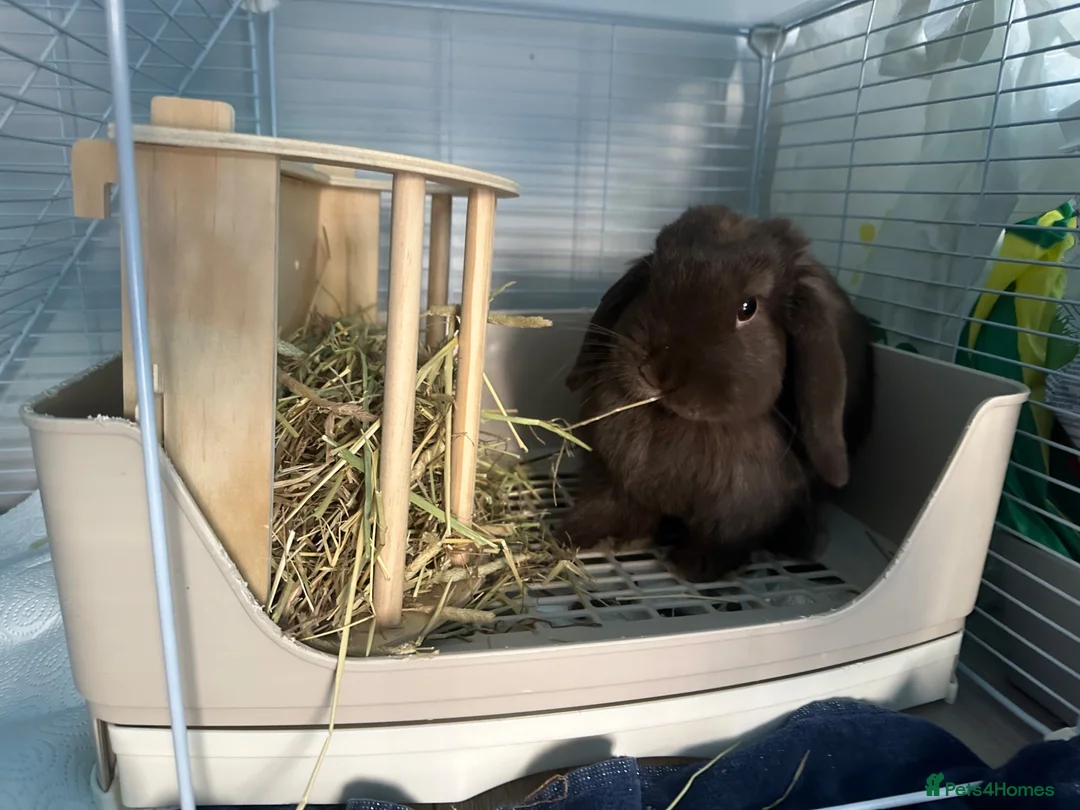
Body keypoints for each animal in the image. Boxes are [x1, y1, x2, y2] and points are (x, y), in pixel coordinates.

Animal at [557, 204, 876, 582]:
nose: (658, 372)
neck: (675, 422)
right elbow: (612, 505)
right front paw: (580, 534)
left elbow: (724, 534)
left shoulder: (741, 505)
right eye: (651, 282)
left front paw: (694, 565)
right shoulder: (616, 479)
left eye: (748, 308)